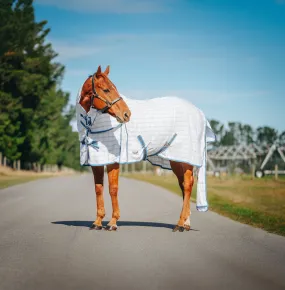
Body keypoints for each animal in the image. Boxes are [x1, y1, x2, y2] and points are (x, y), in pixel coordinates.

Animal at [76, 65, 214, 231]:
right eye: (106, 89)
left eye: (114, 88)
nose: (126, 114)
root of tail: (199, 113)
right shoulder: (96, 161)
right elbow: (98, 188)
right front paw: (97, 222)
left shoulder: (113, 161)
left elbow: (113, 188)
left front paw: (113, 222)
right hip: (175, 159)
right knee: (183, 185)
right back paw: (185, 223)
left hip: (185, 158)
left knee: (187, 185)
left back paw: (180, 224)